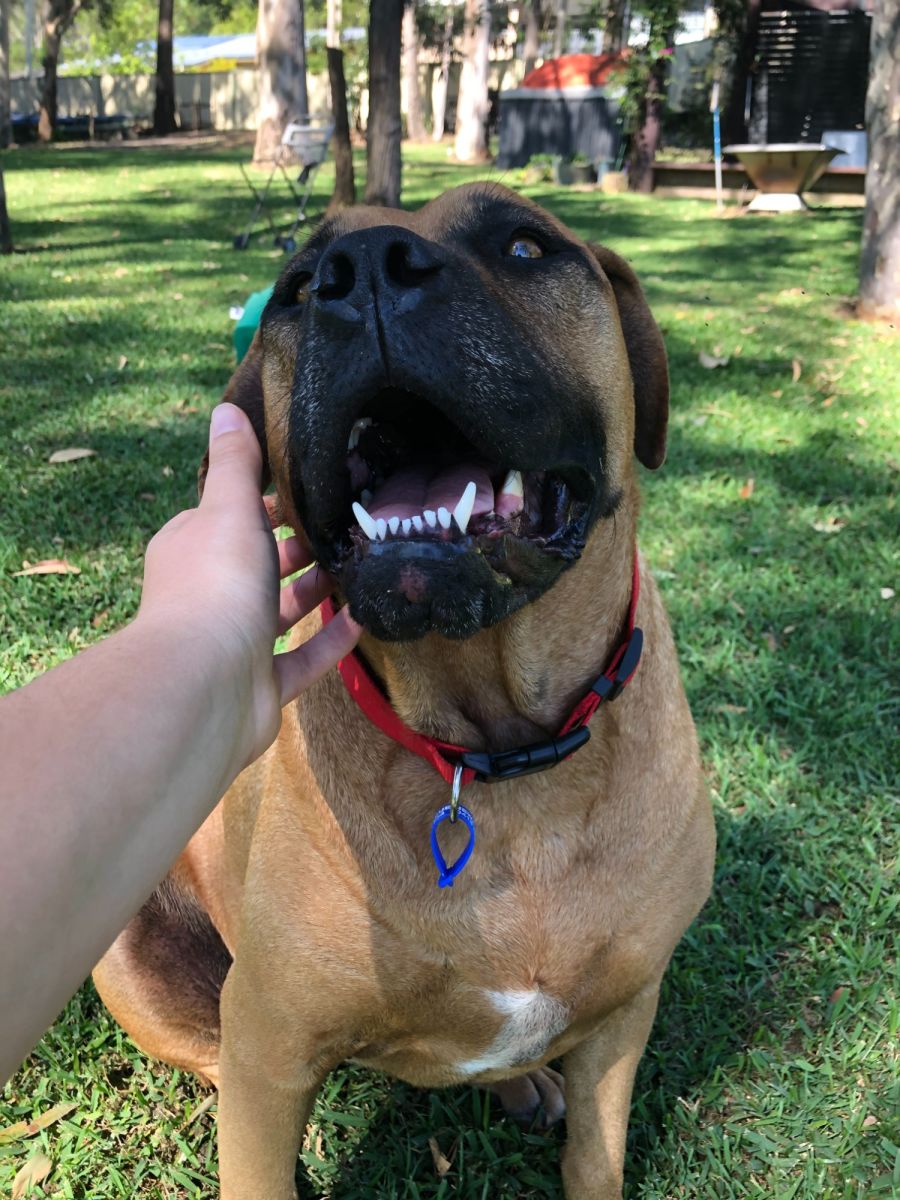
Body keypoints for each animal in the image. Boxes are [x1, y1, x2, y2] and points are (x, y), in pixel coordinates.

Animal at [94, 182, 715, 1199]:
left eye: (524, 245)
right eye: (298, 283)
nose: (364, 273)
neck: (498, 754)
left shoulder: (626, 1017)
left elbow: (595, 1157)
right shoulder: (271, 1045)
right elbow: (256, 1130)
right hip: (138, 958)